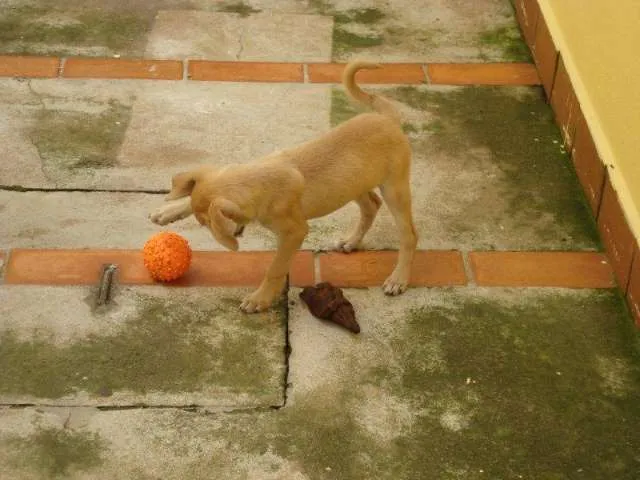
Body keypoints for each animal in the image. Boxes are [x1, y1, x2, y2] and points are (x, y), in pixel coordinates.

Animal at [151, 61, 420, 312]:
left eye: (206, 226)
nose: (235, 234)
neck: (258, 180)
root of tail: (388, 118)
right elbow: (191, 197)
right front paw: (168, 211)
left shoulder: (295, 232)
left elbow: (276, 268)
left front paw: (259, 299)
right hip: (353, 183)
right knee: (371, 205)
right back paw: (352, 241)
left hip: (394, 189)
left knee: (409, 235)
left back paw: (398, 279)